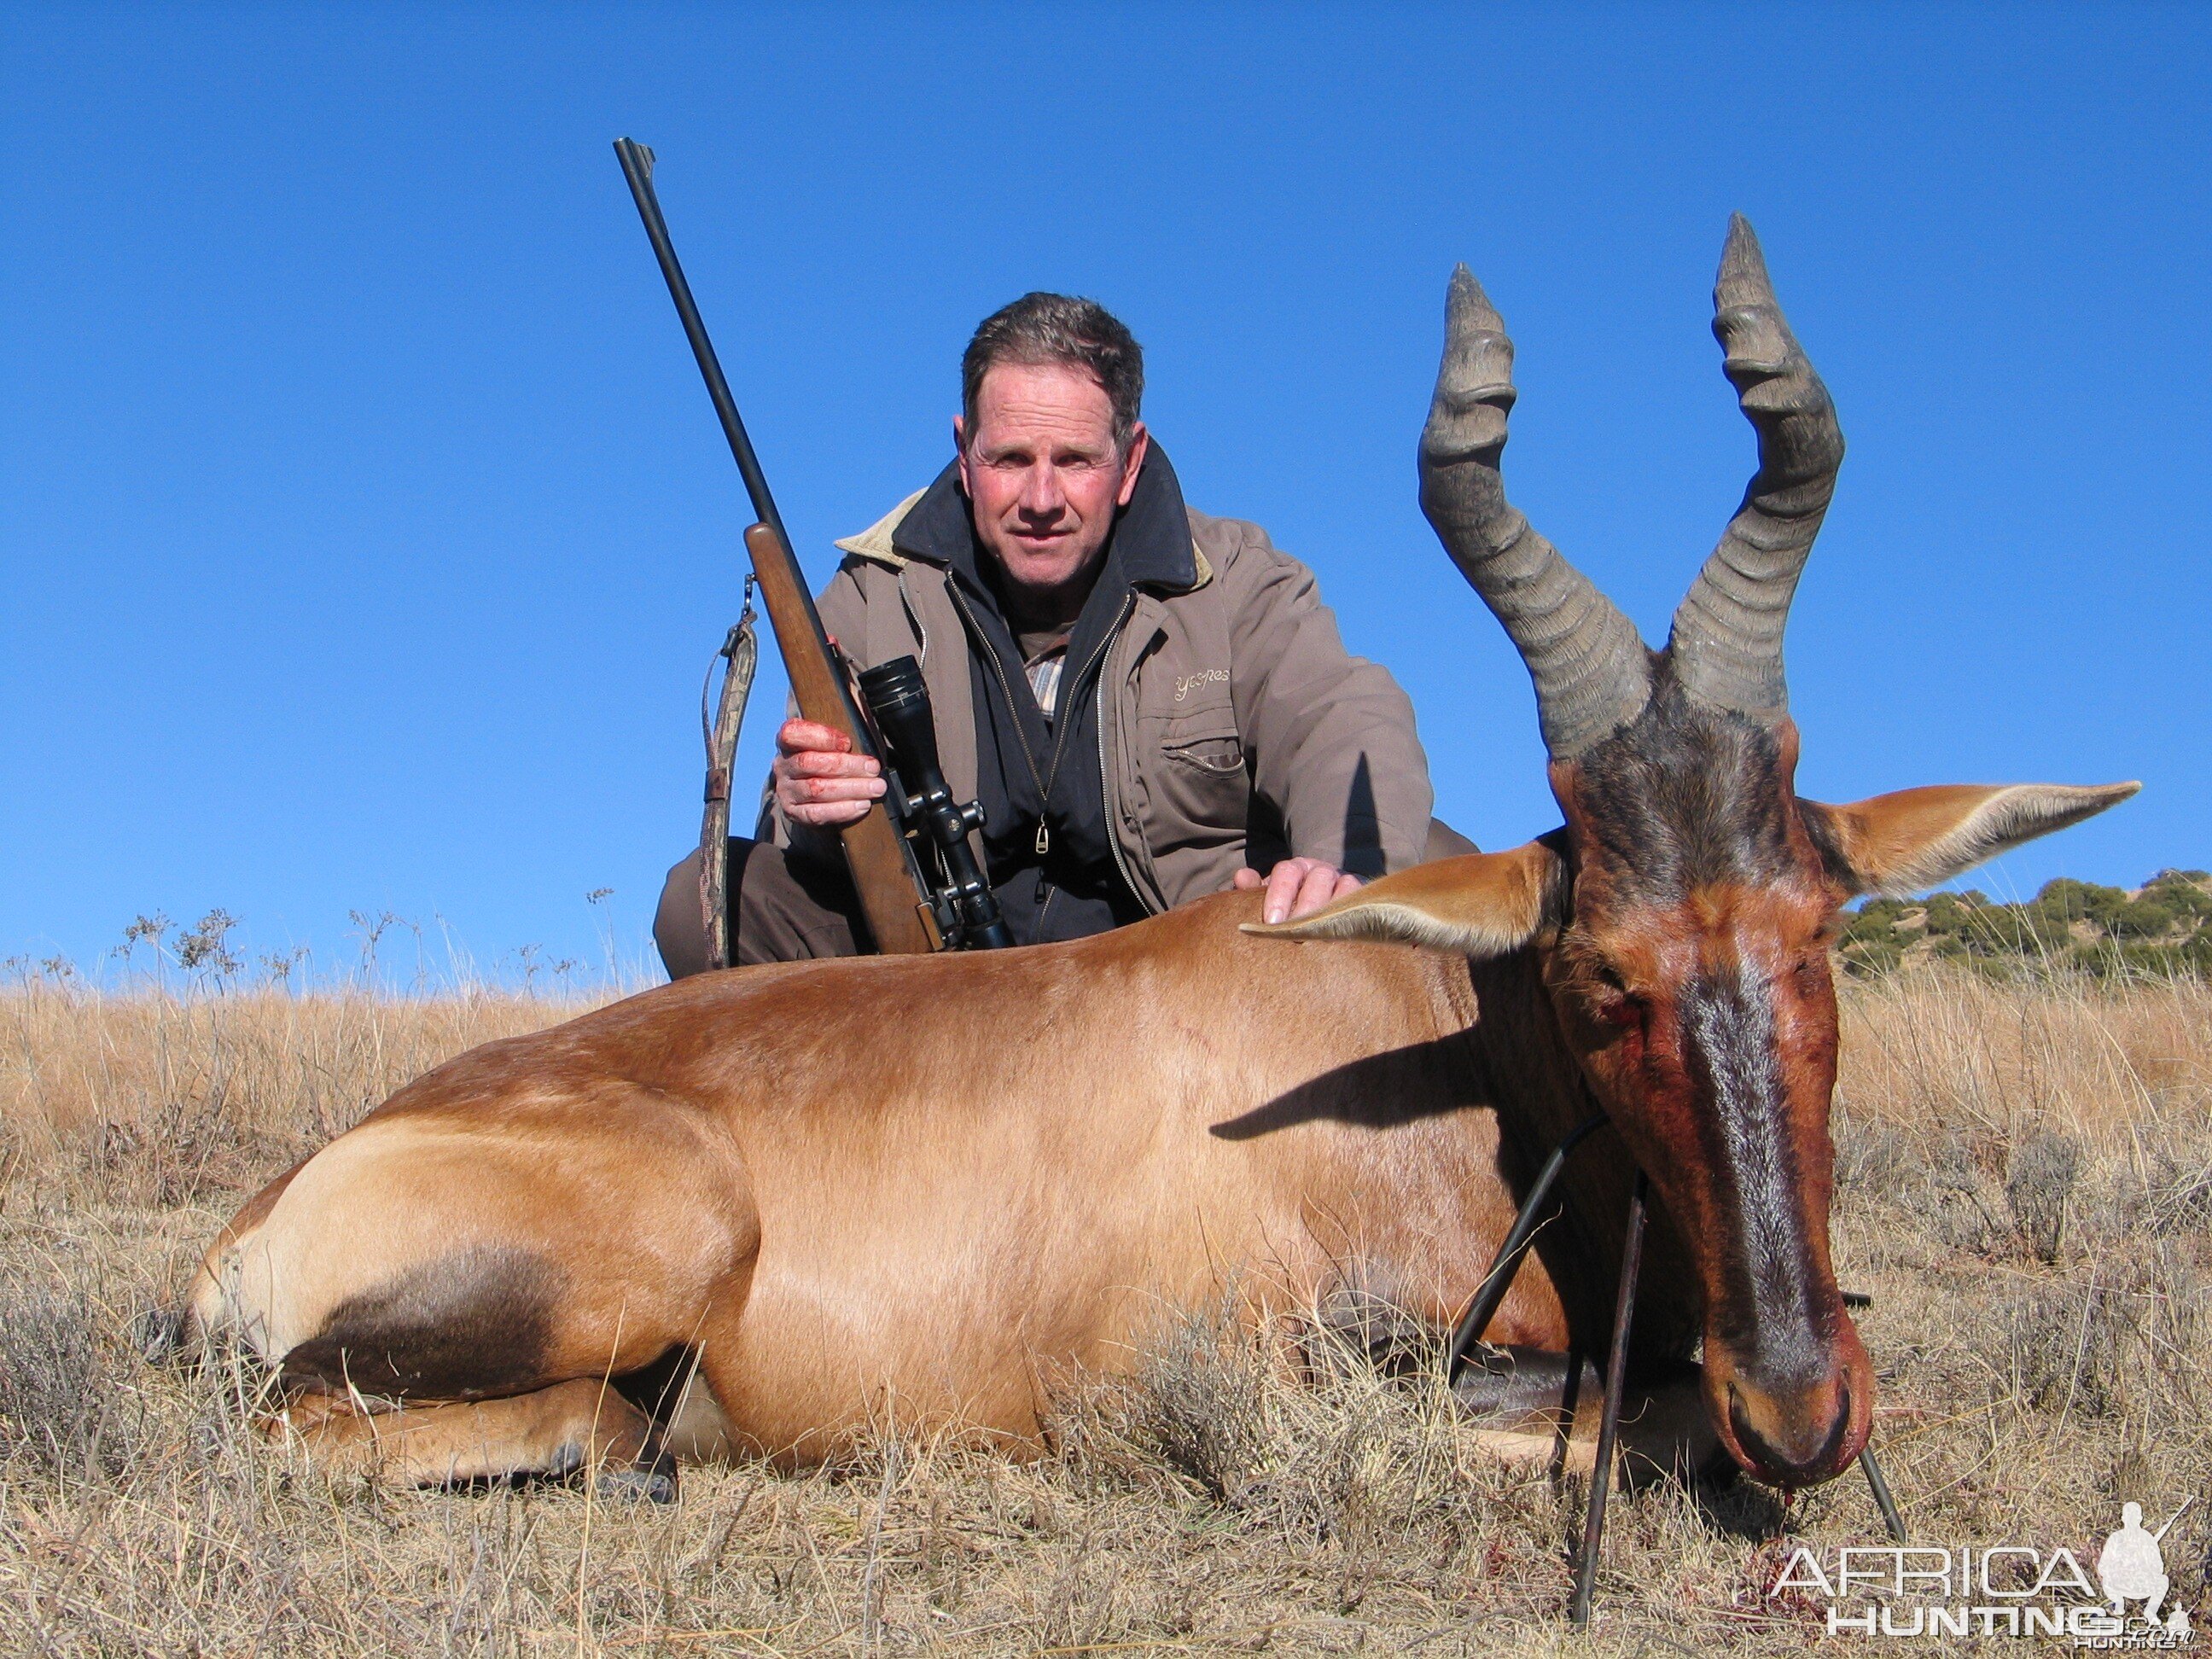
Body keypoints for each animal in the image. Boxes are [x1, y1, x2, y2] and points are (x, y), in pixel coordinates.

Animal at [181, 214, 2132, 1504]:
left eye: (1821, 927)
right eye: (1600, 969)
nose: (1799, 1402)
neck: (1422, 1036)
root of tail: (259, 1216)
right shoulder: (1261, 1374)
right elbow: (1590, 1412)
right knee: (409, 1426)